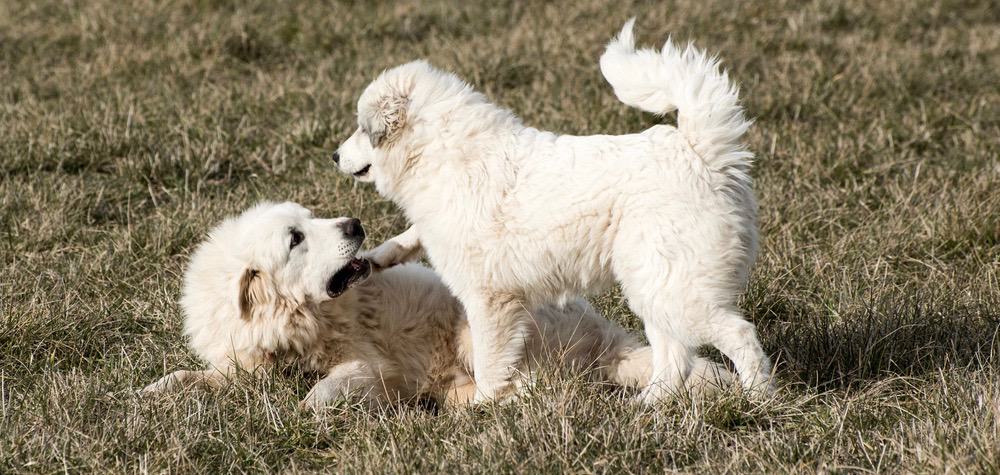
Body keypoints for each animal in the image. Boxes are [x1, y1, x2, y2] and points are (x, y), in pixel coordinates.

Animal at [145, 203, 732, 408]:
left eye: (308, 220)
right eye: (296, 239)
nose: (355, 224)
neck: (299, 322)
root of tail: (605, 335)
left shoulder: (372, 365)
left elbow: (331, 385)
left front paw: (310, 406)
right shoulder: (243, 364)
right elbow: (196, 377)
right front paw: (154, 391)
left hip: (480, 327)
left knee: (530, 389)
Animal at [336, 19, 772, 406]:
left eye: (361, 129)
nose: (334, 156)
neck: (440, 152)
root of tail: (700, 150)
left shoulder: (488, 300)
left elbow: (490, 361)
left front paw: (483, 406)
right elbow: (412, 235)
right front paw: (378, 257)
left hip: (679, 289)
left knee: (739, 335)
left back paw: (758, 399)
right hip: (656, 286)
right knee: (674, 355)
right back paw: (648, 405)